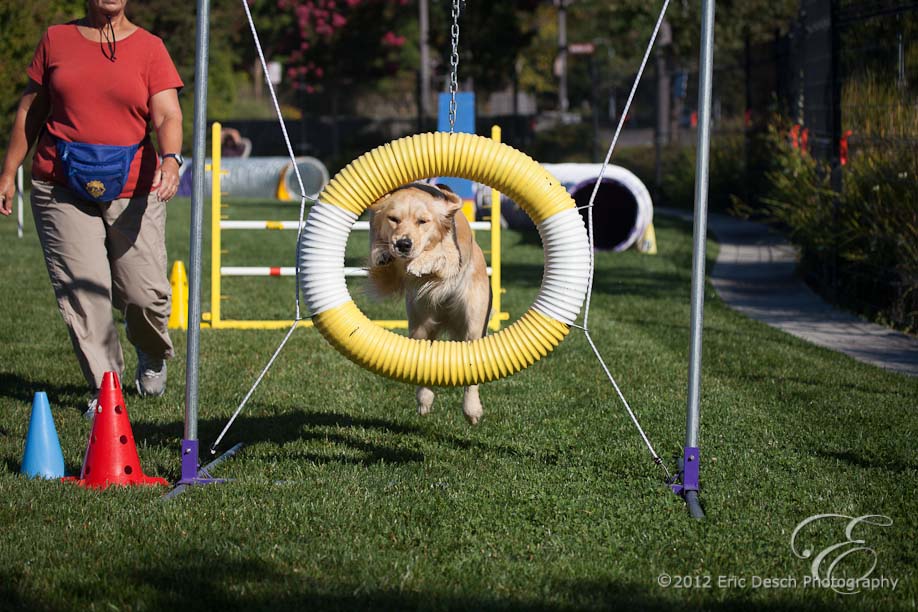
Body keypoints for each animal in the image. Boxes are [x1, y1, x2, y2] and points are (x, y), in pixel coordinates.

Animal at [370, 183, 492, 426]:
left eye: (422, 221)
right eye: (393, 219)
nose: (403, 244)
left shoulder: (453, 257)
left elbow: (441, 255)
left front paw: (421, 263)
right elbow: (379, 254)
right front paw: (383, 253)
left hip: (473, 324)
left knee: (472, 371)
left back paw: (472, 410)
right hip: (420, 326)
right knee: (423, 360)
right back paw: (424, 400)